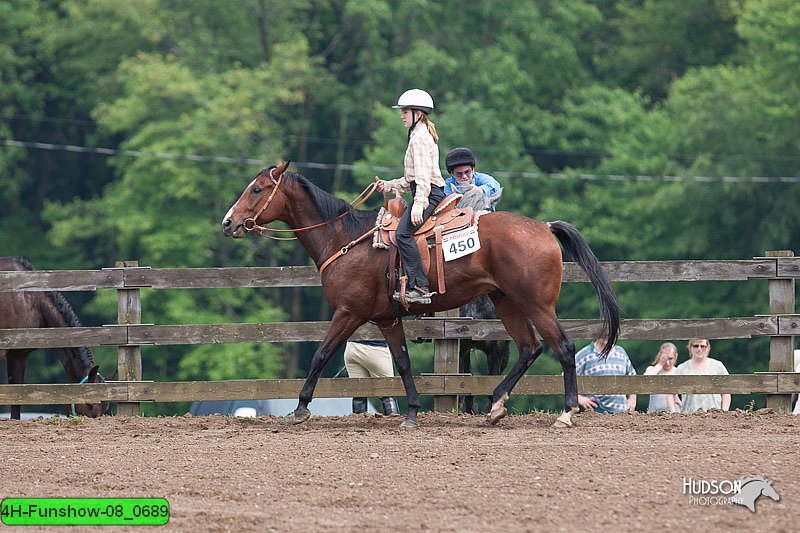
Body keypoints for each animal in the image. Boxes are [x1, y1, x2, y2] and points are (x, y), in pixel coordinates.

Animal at [222, 162, 620, 428]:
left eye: (257, 189)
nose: (228, 222)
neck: (345, 239)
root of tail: (544, 227)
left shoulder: (348, 312)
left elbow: (321, 354)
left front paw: (301, 408)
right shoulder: (387, 318)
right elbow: (402, 362)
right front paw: (412, 412)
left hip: (537, 304)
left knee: (563, 347)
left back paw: (565, 413)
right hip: (507, 302)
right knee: (529, 348)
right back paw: (496, 406)